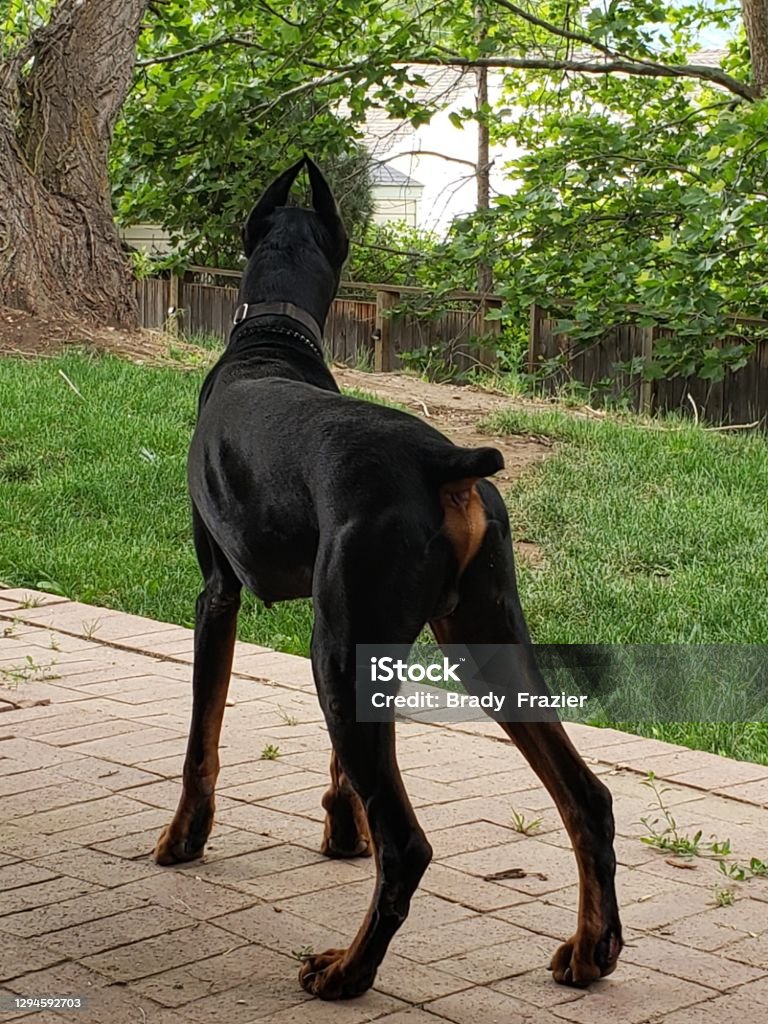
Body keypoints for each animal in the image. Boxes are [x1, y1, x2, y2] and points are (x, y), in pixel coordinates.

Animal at [156, 157, 626, 999]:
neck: (270, 340)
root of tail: (443, 461)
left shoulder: (220, 594)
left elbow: (201, 739)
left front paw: (183, 838)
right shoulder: (346, 628)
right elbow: (345, 763)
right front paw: (344, 828)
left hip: (346, 646)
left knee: (412, 845)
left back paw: (348, 969)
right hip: (479, 637)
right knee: (586, 796)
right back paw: (590, 948)